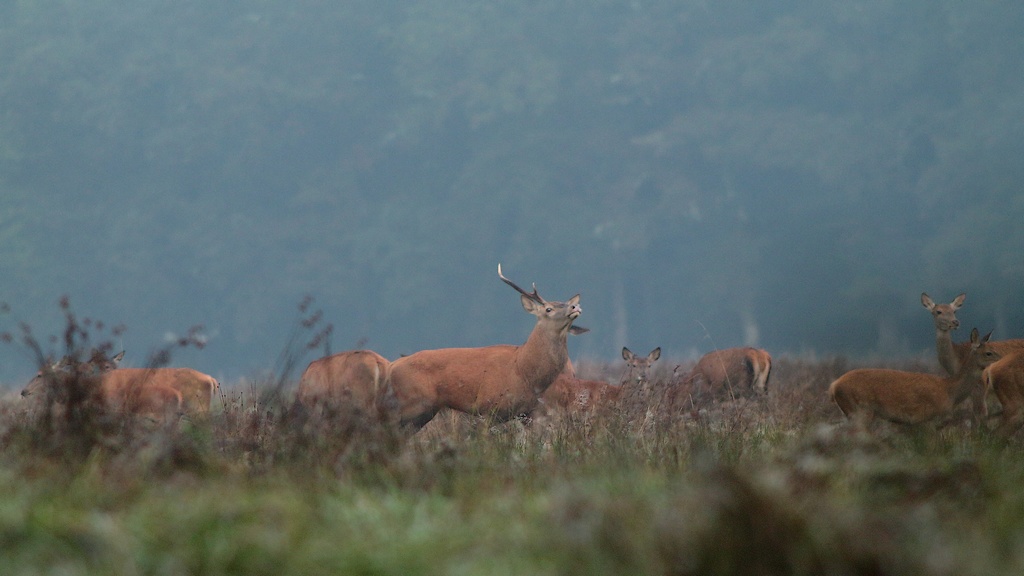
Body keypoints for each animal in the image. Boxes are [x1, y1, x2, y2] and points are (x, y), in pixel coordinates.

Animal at [386, 264, 585, 429]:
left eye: (564, 303)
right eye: (548, 309)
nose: (575, 307)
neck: (523, 371)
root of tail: (391, 367)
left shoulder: (528, 413)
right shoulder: (487, 407)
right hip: (411, 404)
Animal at [828, 328, 1001, 432]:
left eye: (993, 349)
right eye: (988, 353)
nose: (1003, 359)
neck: (949, 391)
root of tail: (834, 386)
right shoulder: (926, 418)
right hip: (860, 410)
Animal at [921, 292, 1024, 420]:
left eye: (954, 311)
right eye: (938, 311)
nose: (955, 322)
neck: (957, 362)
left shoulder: (981, 386)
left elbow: (981, 414)